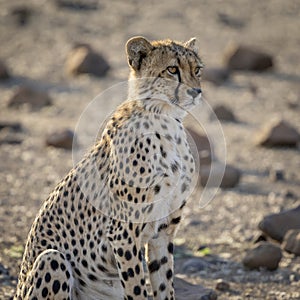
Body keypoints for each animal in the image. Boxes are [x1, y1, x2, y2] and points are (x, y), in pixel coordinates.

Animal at [13, 36, 202, 298]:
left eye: (197, 69)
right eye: (172, 70)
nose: (196, 92)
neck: (167, 125)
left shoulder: (163, 233)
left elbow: (164, 285)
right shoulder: (123, 233)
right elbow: (136, 287)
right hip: (52, 259)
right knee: (53, 259)